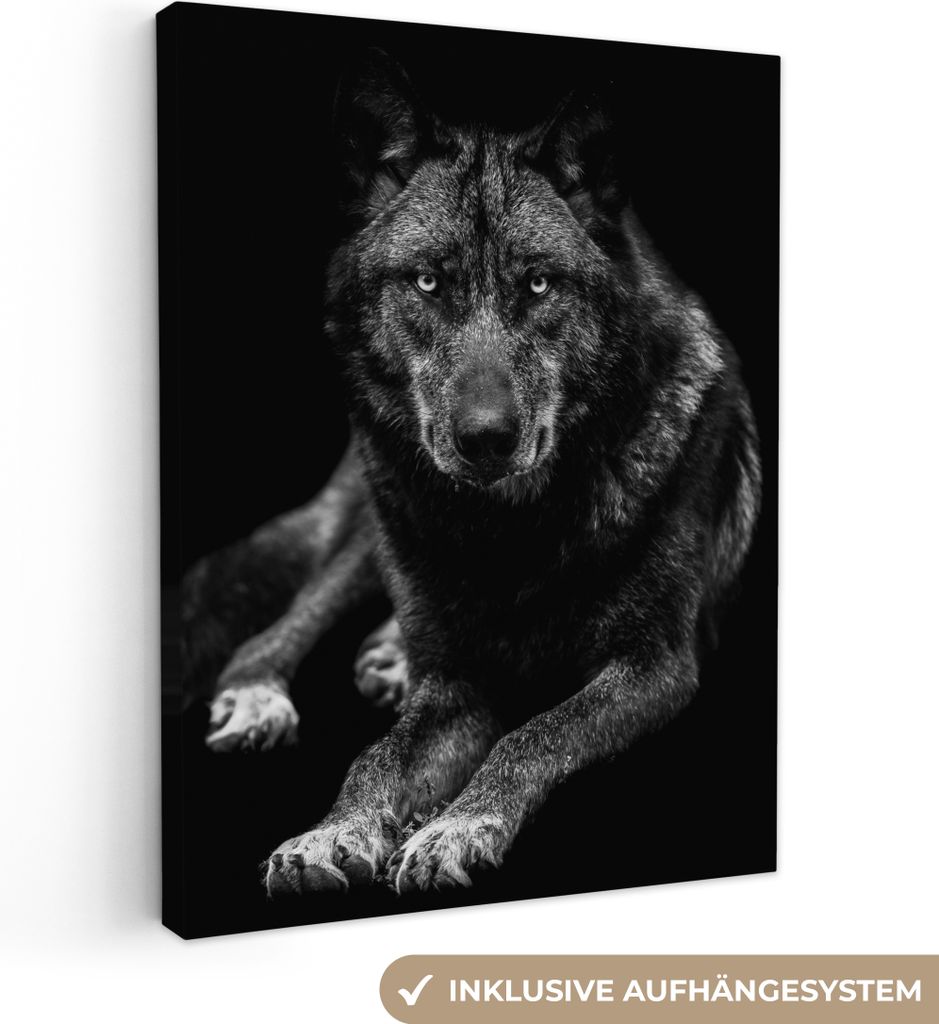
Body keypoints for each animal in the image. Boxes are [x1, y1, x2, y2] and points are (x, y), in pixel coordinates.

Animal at [183, 51, 761, 896]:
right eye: (427, 282)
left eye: (539, 283)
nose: (486, 438)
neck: (509, 533)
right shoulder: (455, 688)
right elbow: (375, 756)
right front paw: (330, 834)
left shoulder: (655, 665)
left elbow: (534, 733)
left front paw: (453, 827)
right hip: (376, 525)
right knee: (280, 625)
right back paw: (262, 693)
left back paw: (387, 659)